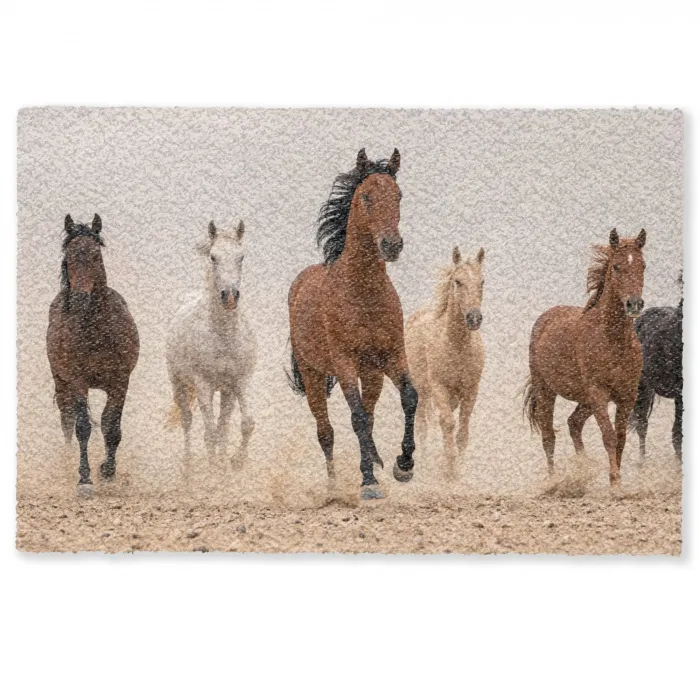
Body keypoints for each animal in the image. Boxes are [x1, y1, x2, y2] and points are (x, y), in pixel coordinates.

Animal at [46, 214, 140, 495]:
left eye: (96, 255)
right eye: (68, 257)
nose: (79, 299)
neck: (97, 330)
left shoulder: (120, 381)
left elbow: (111, 426)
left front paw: (107, 471)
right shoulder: (78, 381)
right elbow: (83, 427)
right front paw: (85, 479)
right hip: (61, 381)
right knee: (66, 420)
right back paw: (68, 465)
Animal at [166, 220, 257, 471]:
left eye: (241, 257)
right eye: (213, 257)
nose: (230, 296)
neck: (223, 336)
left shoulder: (240, 381)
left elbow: (245, 424)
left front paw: (234, 463)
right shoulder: (203, 384)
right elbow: (209, 434)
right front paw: (213, 471)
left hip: (226, 391)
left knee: (223, 425)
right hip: (179, 384)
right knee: (187, 420)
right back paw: (188, 468)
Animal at [287, 148, 417, 500]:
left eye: (398, 195)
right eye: (367, 196)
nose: (391, 245)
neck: (363, 294)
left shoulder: (391, 356)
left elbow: (409, 397)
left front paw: (404, 465)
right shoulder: (344, 362)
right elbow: (356, 417)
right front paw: (369, 483)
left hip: (371, 374)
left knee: (369, 417)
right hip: (314, 374)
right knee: (326, 432)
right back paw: (334, 487)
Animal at [405, 245, 485, 477]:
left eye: (482, 282)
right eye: (457, 281)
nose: (474, 318)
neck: (456, 346)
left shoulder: (471, 389)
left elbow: (463, 429)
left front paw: (459, 467)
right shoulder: (439, 387)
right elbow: (447, 423)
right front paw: (449, 468)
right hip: (422, 390)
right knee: (422, 426)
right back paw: (424, 461)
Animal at [524, 228, 647, 489]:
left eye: (642, 265)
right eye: (616, 266)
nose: (634, 304)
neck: (612, 340)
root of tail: (546, 317)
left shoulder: (627, 396)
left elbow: (620, 438)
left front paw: (616, 481)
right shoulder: (599, 393)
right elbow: (609, 436)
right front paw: (615, 484)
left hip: (584, 399)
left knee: (574, 423)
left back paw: (583, 470)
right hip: (546, 390)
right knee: (548, 435)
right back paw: (554, 481)